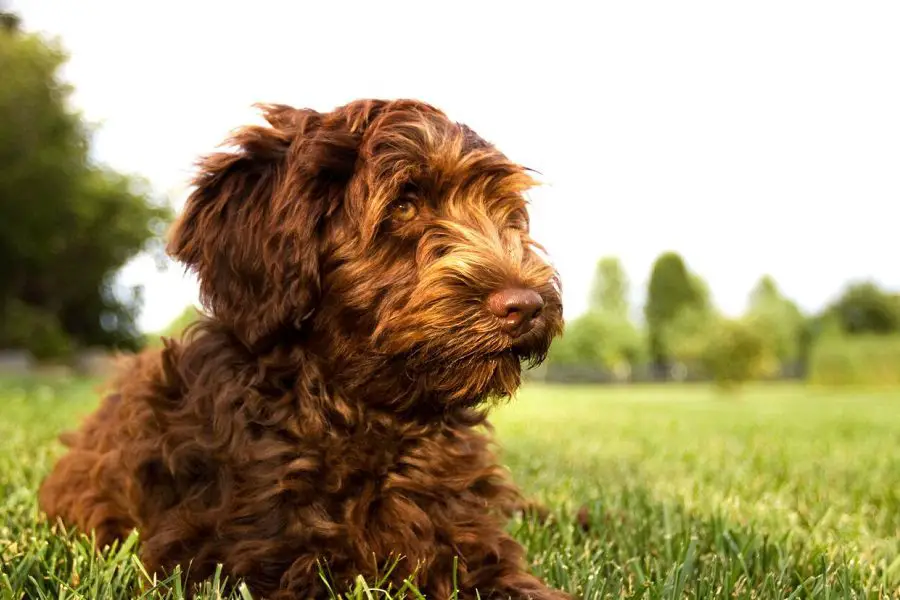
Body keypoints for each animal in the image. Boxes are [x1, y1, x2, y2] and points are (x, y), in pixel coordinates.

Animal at [38, 99, 568, 600]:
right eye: (404, 205)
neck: (364, 413)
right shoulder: (246, 557)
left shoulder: (466, 537)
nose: (526, 306)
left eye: (503, 211)